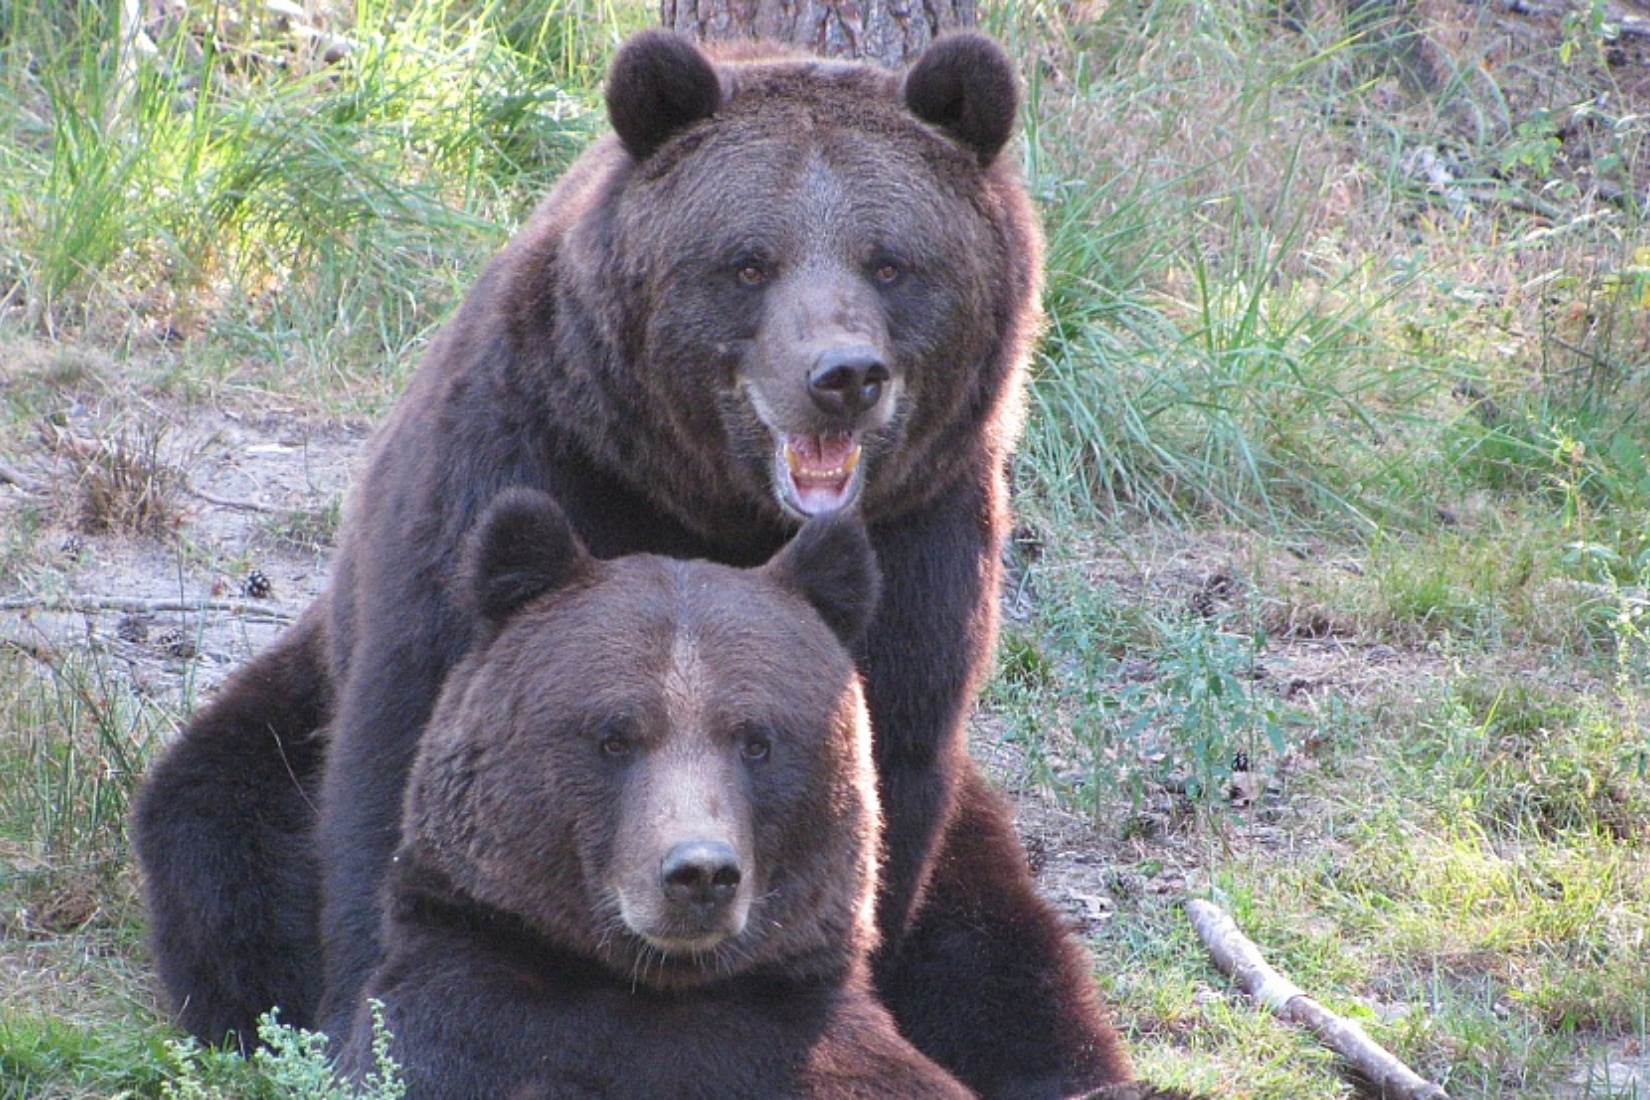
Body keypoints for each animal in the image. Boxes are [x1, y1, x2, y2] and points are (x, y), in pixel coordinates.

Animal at [336, 491, 970, 1100]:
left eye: (756, 741)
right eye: (615, 737)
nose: (701, 872)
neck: (661, 983)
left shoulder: (812, 1040)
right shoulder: (473, 1016)